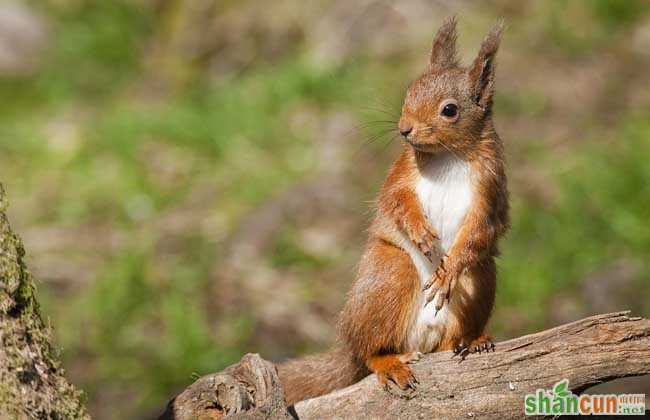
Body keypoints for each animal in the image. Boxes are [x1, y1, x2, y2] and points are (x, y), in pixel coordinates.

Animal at [276, 18, 508, 406]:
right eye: (409, 92)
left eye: (450, 110)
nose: (404, 129)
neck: (449, 156)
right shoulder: (401, 173)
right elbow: (397, 200)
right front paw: (421, 232)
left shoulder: (489, 189)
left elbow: (483, 228)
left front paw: (448, 271)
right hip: (390, 274)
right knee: (370, 352)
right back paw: (388, 362)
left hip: (480, 279)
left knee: (452, 330)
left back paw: (470, 340)